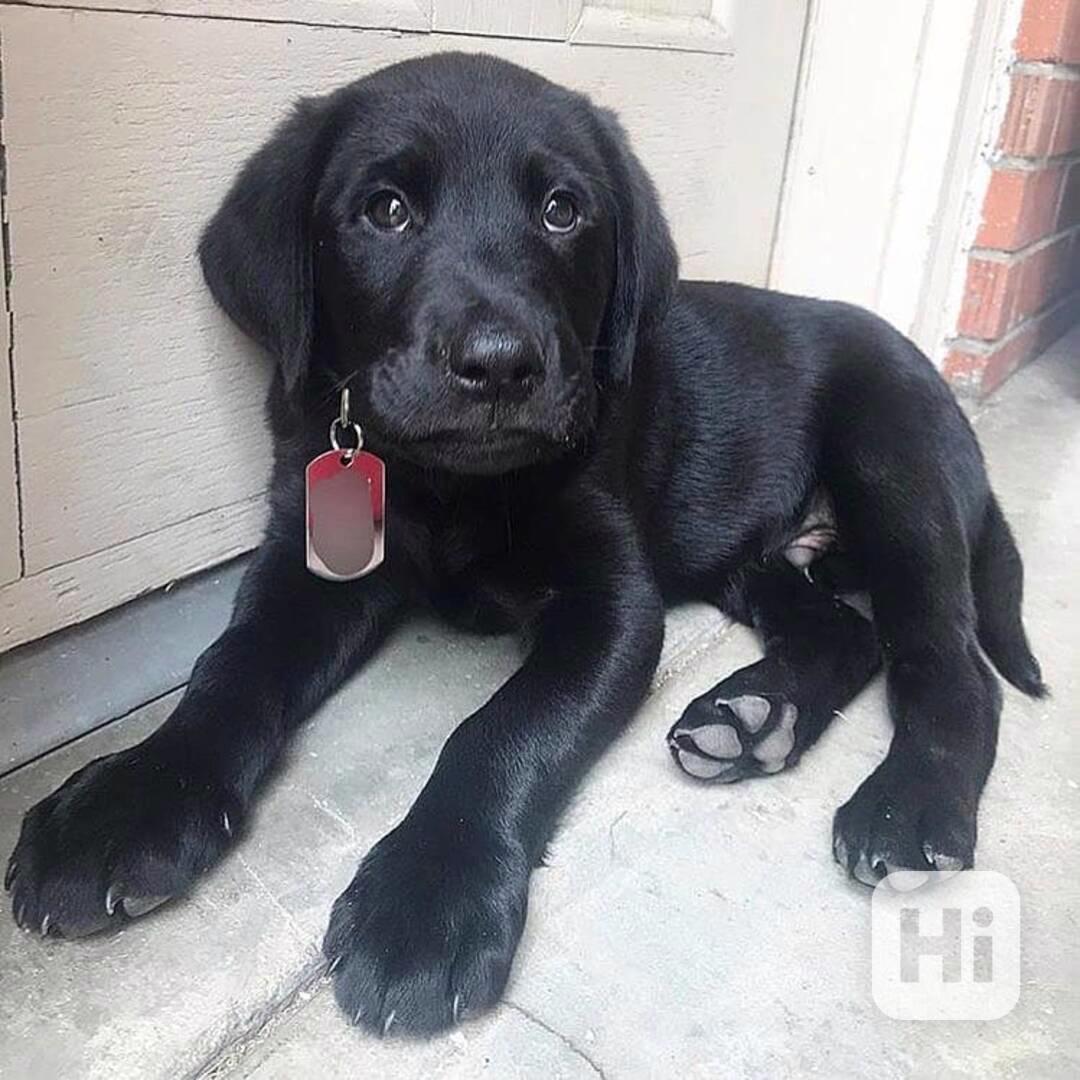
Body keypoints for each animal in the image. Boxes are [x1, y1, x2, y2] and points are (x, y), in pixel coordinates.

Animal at [8, 54, 1041, 1032]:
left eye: (561, 211)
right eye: (385, 211)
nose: (501, 364)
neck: (450, 484)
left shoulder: (610, 601)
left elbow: (502, 729)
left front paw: (429, 898)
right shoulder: (307, 561)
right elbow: (230, 666)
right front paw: (130, 798)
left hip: (894, 469)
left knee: (952, 665)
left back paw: (906, 805)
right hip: (755, 554)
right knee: (847, 632)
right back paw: (753, 718)